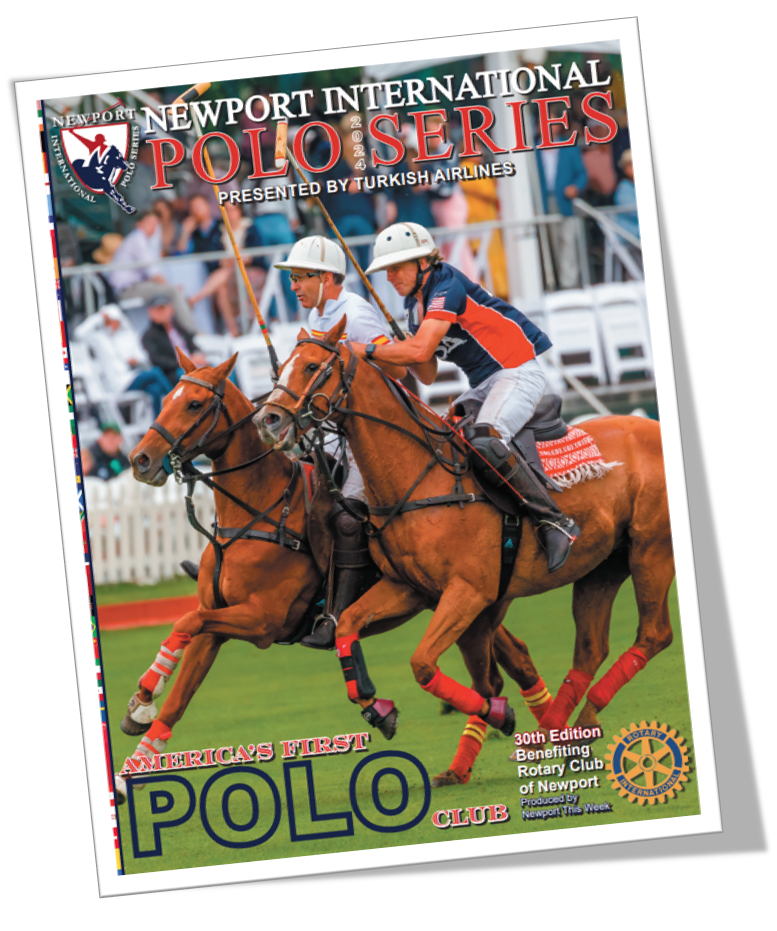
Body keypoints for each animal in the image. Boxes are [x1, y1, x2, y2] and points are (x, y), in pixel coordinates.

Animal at [118, 348, 545, 796]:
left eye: (195, 404)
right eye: (167, 399)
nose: (140, 460)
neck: (256, 511)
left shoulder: (263, 620)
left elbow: (185, 620)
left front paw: (142, 698)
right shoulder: (216, 625)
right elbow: (179, 693)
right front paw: (134, 752)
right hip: (464, 599)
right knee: (514, 656)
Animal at [256, 317, 675, 762]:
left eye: (311, 366)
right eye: (280, 370)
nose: (268, 420)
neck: (419, 476)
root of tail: (652, 425)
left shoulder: (468, 591)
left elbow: (424, 664)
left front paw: (500, 714)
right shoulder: (408, 587)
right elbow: (347, 626)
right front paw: (378, 708)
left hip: (651, 549)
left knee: (654, 634)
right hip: (603, 564)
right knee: (591, 647)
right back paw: (566, 730)